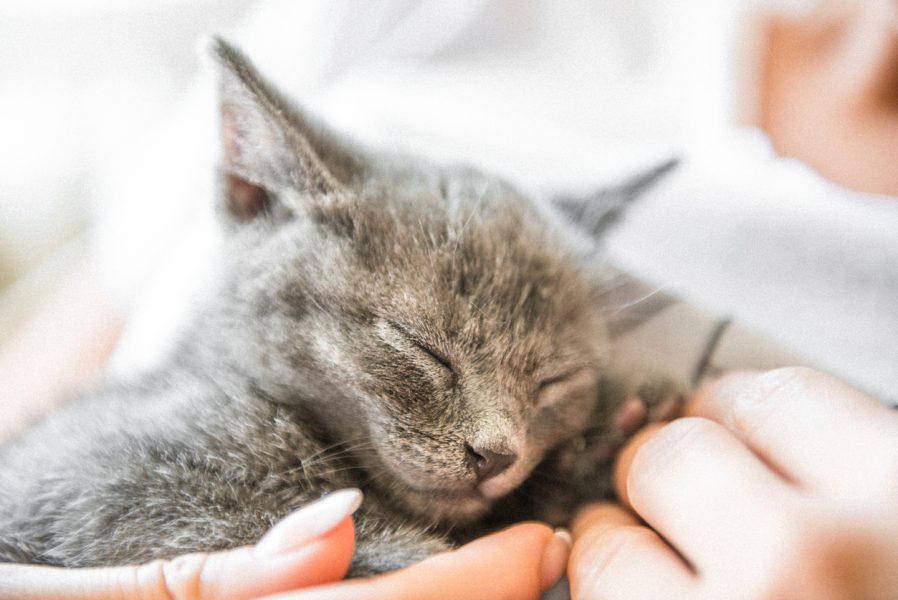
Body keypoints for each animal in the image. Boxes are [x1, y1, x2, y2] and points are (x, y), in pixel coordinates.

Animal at [0, 39, 676, 576]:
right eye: (420, 346)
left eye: (554, 381)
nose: (497, 454)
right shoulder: (75, 486)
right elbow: (181, 521)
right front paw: (396, 549)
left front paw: (594, 447)